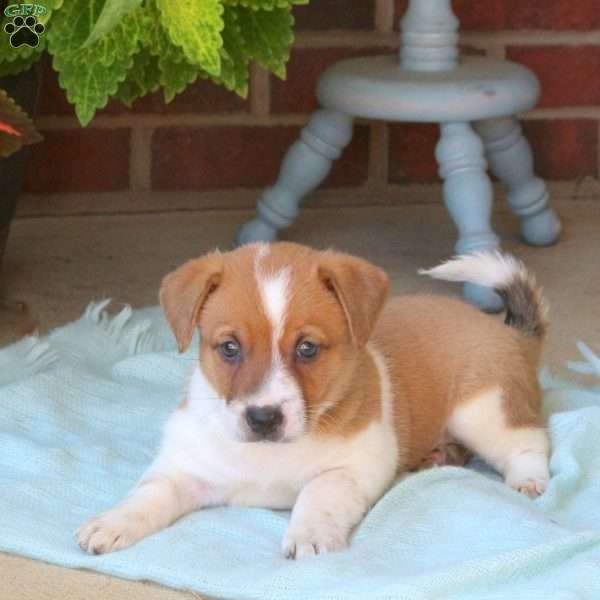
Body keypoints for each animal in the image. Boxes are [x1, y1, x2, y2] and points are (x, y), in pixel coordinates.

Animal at [77, 243, 552, 556]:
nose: (263, 417)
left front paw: (309, 536)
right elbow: (146, 496)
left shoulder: (352, 467)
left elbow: (317, 494)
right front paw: (112, 521)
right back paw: (438, 455)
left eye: (307, 348)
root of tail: (509, 332)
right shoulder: (184, 470)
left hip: (486, 410)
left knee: (530, 441)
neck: (268, 455)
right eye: (229, 348)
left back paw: (527, 478)